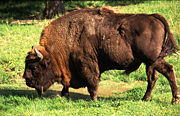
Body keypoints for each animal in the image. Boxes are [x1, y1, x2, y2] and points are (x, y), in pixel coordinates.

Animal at [23, 7, 179, 103]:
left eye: (34, 67)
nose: (27, 80)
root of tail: (154, 17)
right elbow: (67, 84)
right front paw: (64, 95)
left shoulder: (87, 64)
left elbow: (92, 82)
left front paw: (94, 99)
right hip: (149, 63)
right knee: (153, 77)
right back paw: (145, 99)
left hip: (153, 59)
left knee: (168, 70)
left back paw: (174, 99)